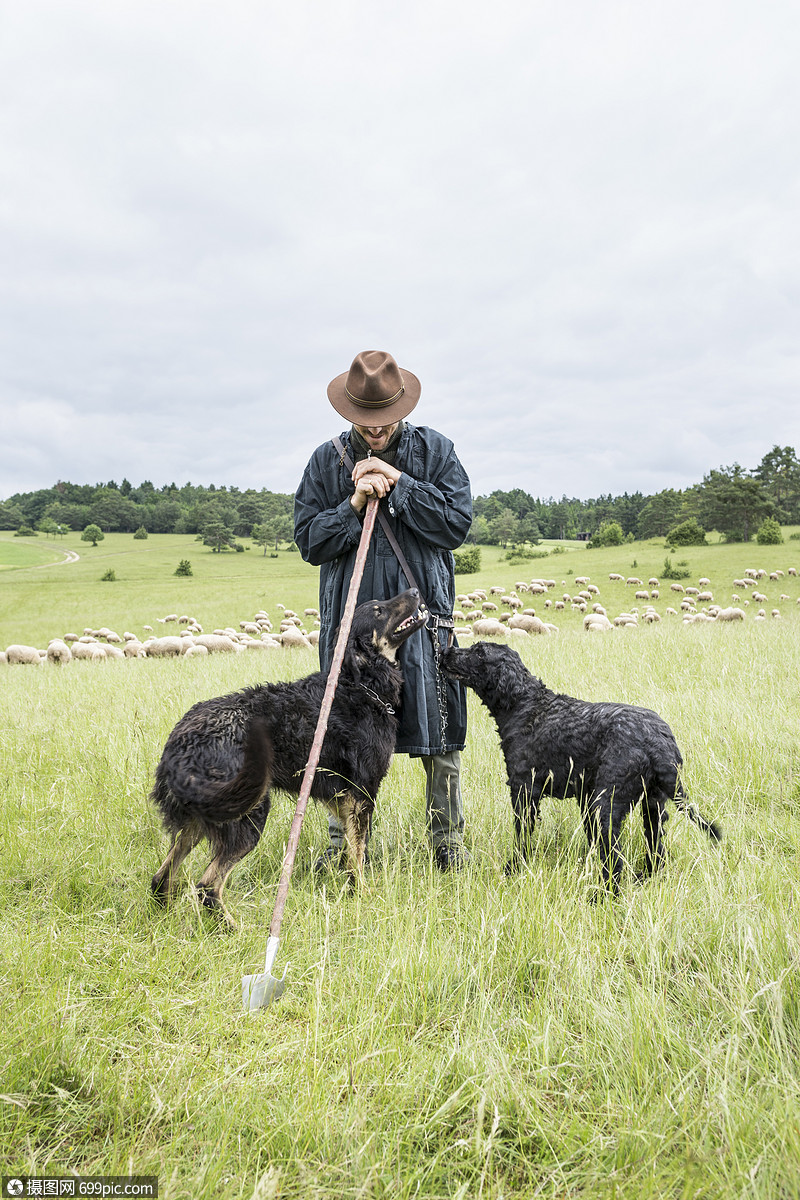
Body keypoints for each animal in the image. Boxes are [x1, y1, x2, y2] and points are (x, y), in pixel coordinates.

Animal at [149, 585, 424, 921]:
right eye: (379, 611)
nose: (414, 589)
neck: (359, 685)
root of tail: (181, 741)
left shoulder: (340, 799)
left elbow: (348, 850)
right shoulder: (362, 793)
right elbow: (357, 854)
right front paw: (362, 895)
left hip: (199, 819)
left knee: (162, 878)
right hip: (248, 813)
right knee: (207, 886)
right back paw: (234, 927)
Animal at [441, 648, 724, 892]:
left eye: (479, 652)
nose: (446, 651)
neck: (524, 704)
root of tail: (659, 742)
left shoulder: (524, 790)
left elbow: (522, 839)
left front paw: (513, 870)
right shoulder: (584, 796)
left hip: (606, 806)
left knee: (615, 860)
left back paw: (602, 895)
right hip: (652, 806)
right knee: (656, 851)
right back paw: (642, 878)